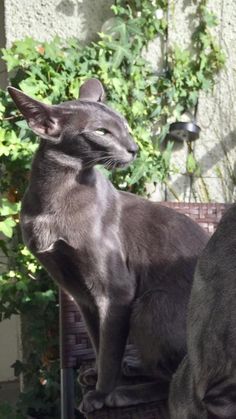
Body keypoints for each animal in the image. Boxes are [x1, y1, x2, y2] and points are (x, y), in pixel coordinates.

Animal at [8, 80, 208, 416]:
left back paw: (123, 393)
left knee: (177, 382)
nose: (134, 148)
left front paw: (101, 394)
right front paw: (97, 376)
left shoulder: (116, 293)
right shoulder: (80, 293)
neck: (55, 198)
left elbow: (110, 351)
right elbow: (98, 343)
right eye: (101, 132)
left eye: (125, 127)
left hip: (151, 304)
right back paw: (131, 368)